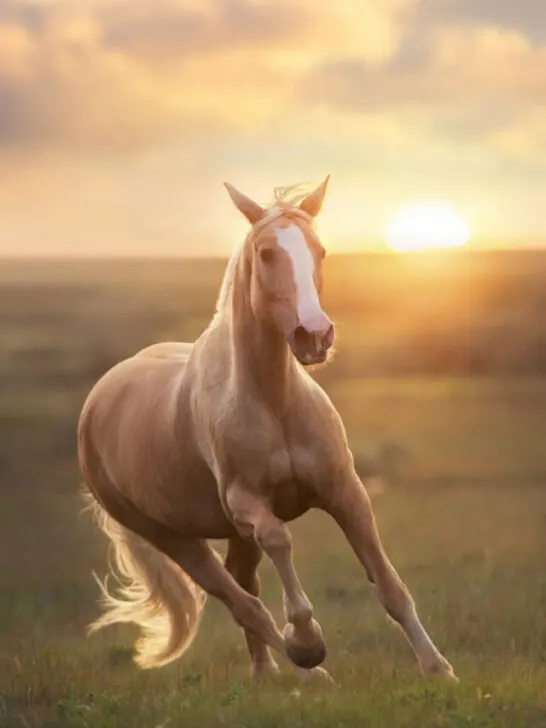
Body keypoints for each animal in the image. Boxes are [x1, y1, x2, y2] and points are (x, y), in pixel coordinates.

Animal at [78, 177, 457, 684]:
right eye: (265, 253)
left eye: (320, 250)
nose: (314, 335)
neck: (274, 401)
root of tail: (99, 398)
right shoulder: (247, 504)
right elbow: (280, 539)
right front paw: (307, 637)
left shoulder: (345, 491)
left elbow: (389, 585)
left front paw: (438, 669)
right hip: (173, 537)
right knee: (242, 603)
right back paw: (309, 668)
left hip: (234, 536)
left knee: (246, 587)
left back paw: (268, 675)